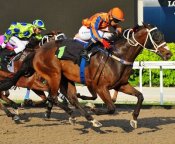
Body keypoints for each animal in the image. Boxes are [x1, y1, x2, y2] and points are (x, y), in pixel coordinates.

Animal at [0, 23, 172, 128]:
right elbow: (111, 108)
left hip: (65, 79)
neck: (117, 56)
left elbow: (140, 96)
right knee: (54, 97)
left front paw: (134, 119)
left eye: (162, 35)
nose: (169, 54)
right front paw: (94, 109)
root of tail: (37, 52)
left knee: (70, 99)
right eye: (156, 37)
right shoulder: (100, 86)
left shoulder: (121, 84)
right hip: (54, 75)